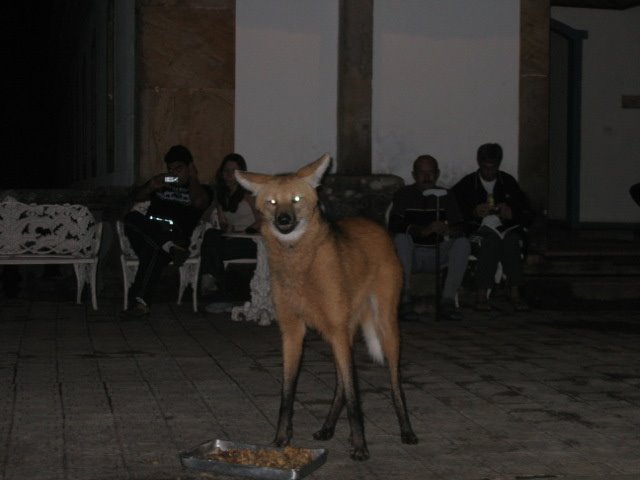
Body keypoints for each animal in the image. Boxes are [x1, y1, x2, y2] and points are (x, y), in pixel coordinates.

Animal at [238, 154, 418, 462]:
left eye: (296, 199)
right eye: (272, 202)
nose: (284, 220)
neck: (298, 265)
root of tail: (375, 226)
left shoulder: (336, 326)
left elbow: (355, 395)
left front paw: (360, 447)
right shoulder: (293, 331)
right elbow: (288, 392)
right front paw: (281, 439)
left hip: (384, 325)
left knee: (394, 382)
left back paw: (406, 430)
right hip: (339, 330)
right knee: (341, 383)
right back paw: (327, 428)